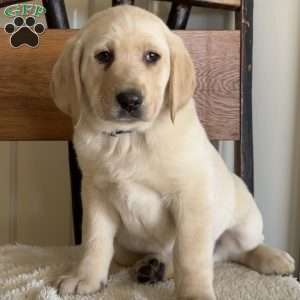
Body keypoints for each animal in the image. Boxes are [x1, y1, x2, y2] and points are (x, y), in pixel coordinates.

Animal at [50, 4, 294, 300]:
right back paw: (153, 267)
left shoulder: (190, 198)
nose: (130, 100)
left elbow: (190, 254)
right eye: (103, 56)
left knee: (236, 250)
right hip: (126, 249)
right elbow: (95, 241)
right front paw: (86, 277)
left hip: (246, 221)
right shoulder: (95, 194)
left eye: (152, 56)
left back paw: (274, 258)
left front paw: (195, 293)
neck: (129, 139)